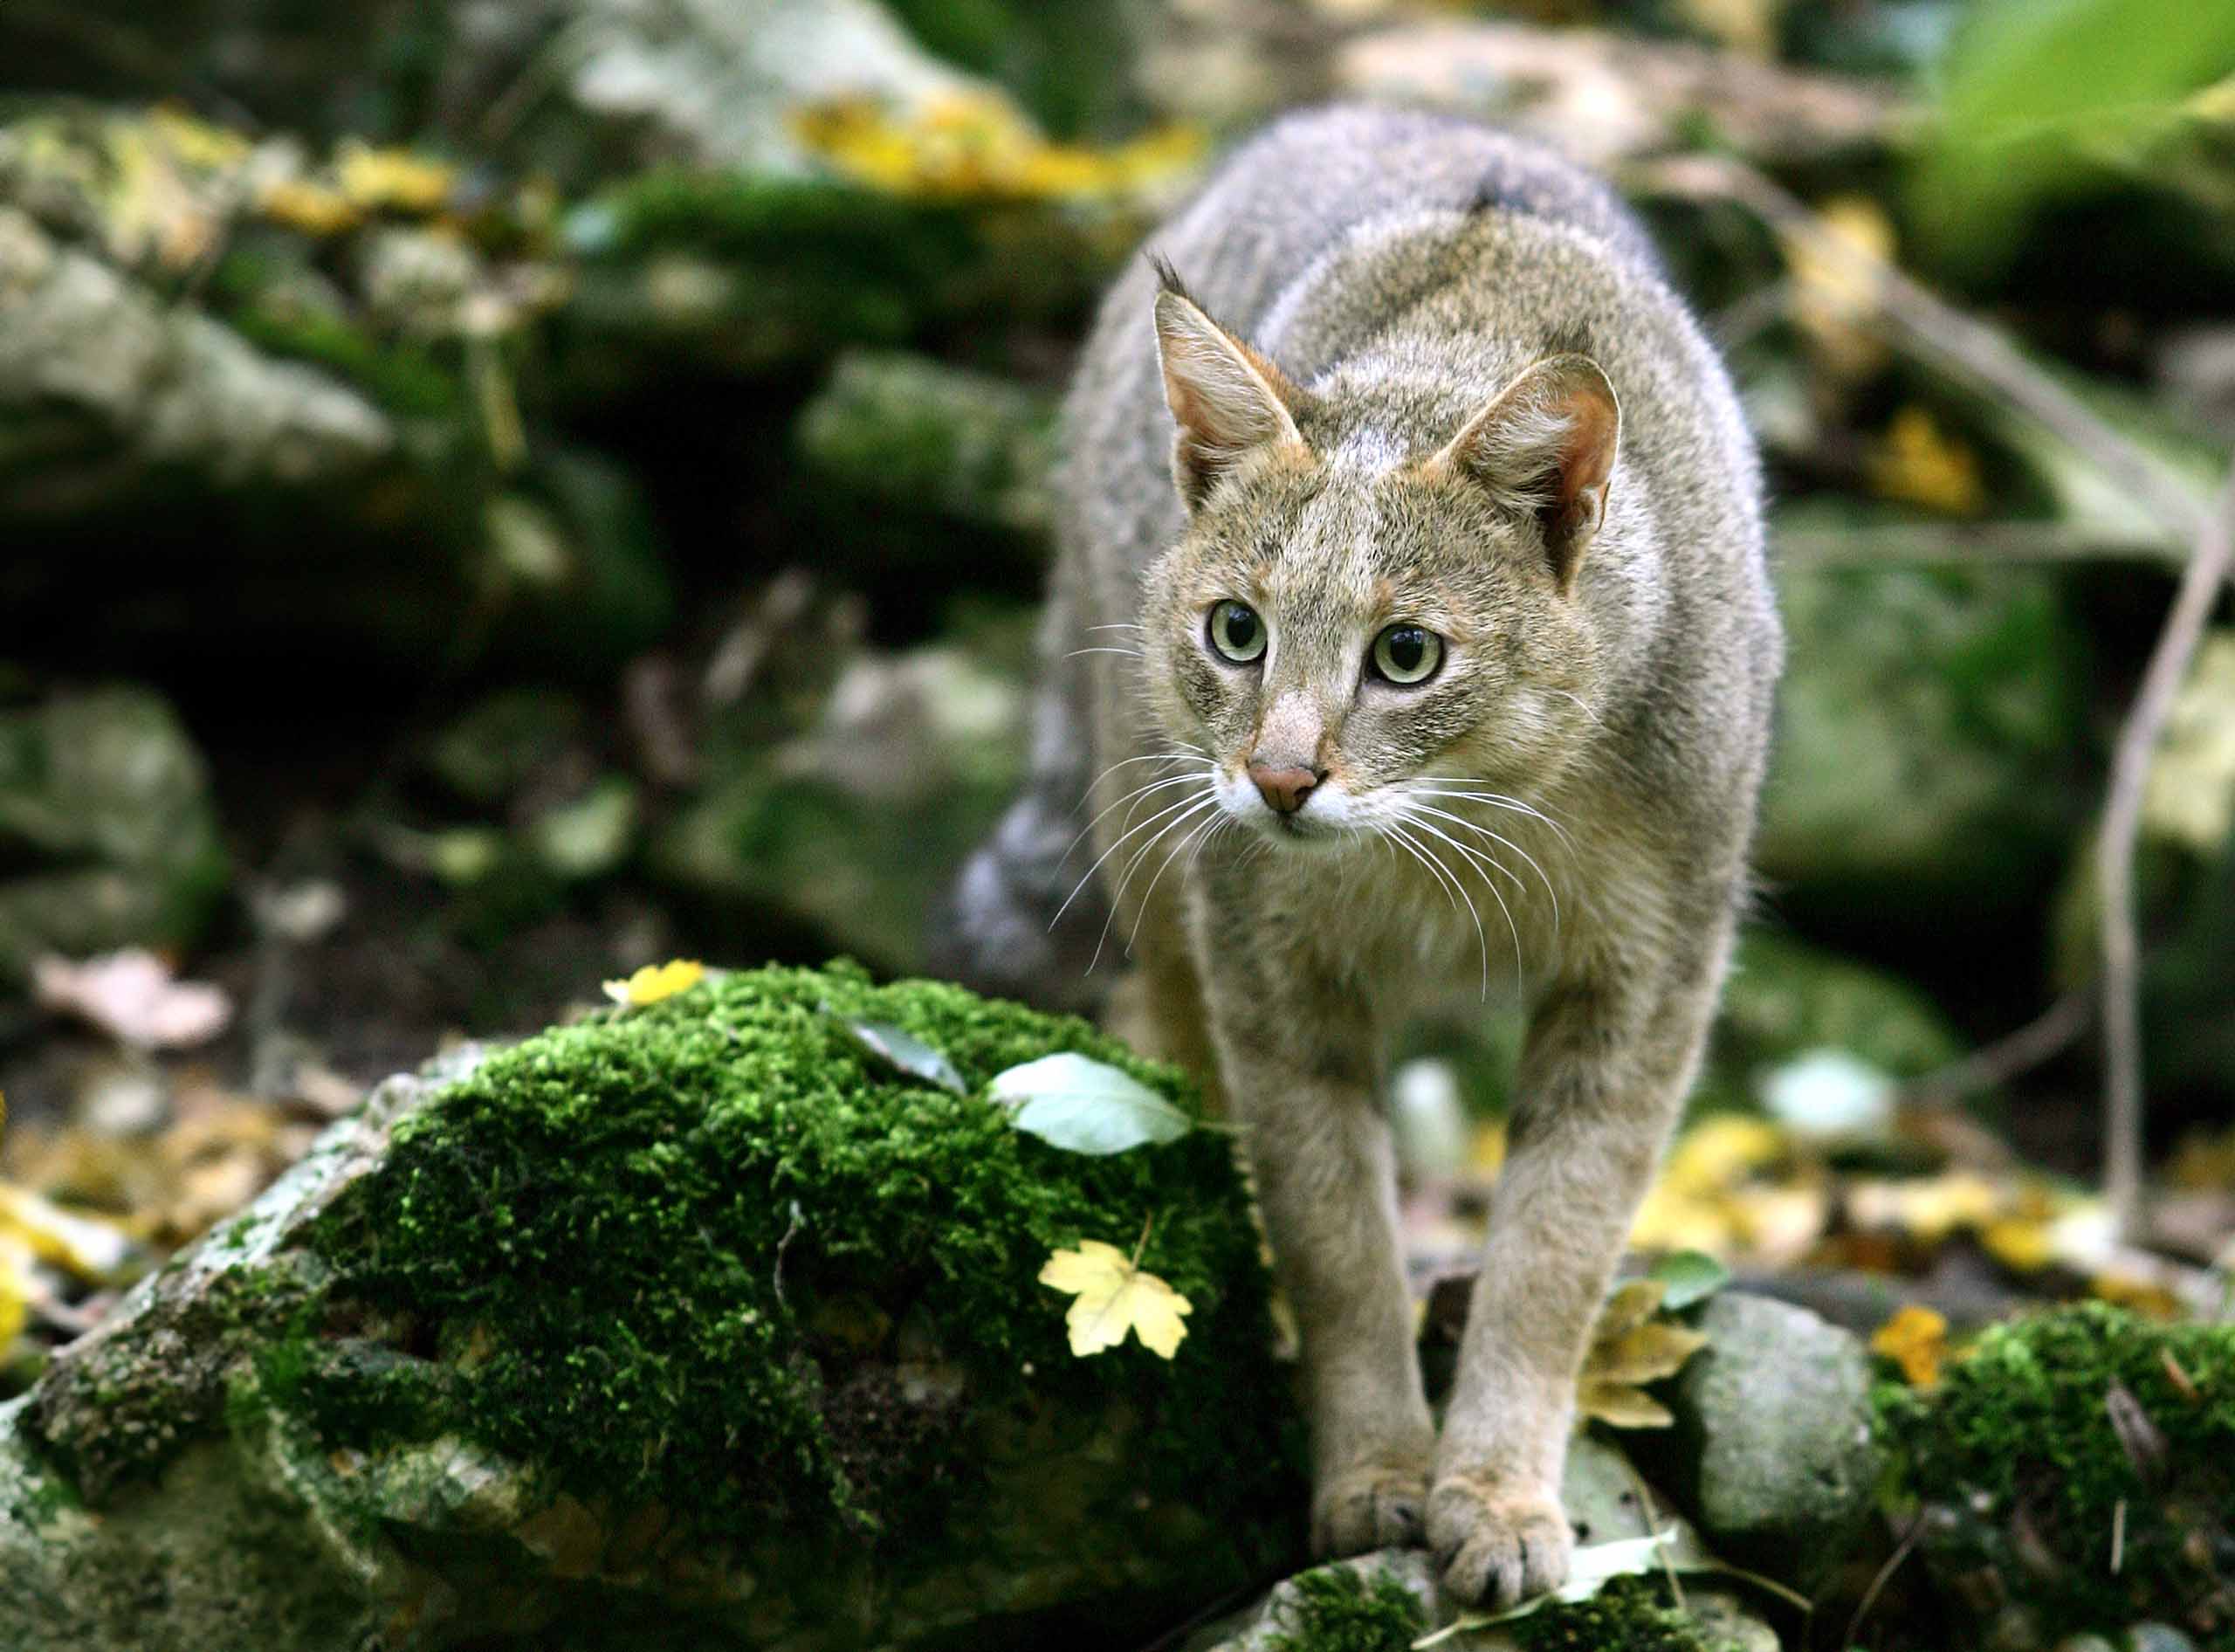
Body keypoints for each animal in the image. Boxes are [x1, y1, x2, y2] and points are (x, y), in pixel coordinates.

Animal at [939, 107, 1778, 1618]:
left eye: (1407, 655)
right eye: (1236, 631)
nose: (1279, 778)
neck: (1469, 826)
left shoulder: (1652, 973)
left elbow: (1556, 1246)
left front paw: (1497, 1492)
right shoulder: (1264, 957)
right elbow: (1332, 1227)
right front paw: (1378, 1468)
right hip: (1143, 831)